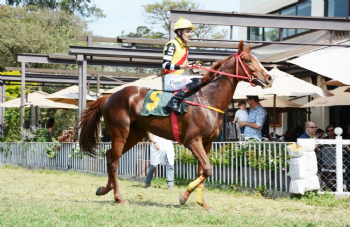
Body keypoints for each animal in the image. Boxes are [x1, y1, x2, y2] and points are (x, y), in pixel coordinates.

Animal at [79, 41, 274, 211]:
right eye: (248, 60)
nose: (269, 77)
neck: (207, 98)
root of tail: (108, 97)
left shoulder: (207, 143)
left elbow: (203, 171)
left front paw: (202, 203)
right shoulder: (192, 141)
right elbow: (207, 169)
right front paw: (183, 196)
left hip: (134, 134)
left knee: (110, 156)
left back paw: (105, 189)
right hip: (120, 133)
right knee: (114, 161)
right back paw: (119, 197)